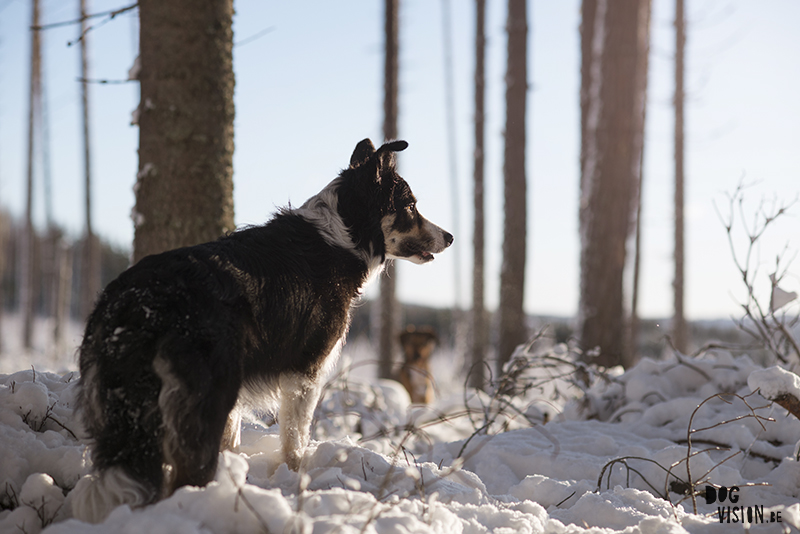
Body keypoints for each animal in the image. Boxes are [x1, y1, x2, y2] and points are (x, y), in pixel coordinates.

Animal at [72, 138, 454, 524]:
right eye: (410, 206)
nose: (450, 237)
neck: (344, 237)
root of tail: (137, 300)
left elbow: (233, 439)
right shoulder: (304, 371)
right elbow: (295, 439)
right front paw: (296, 479)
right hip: (207, 394)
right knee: (186, 473)